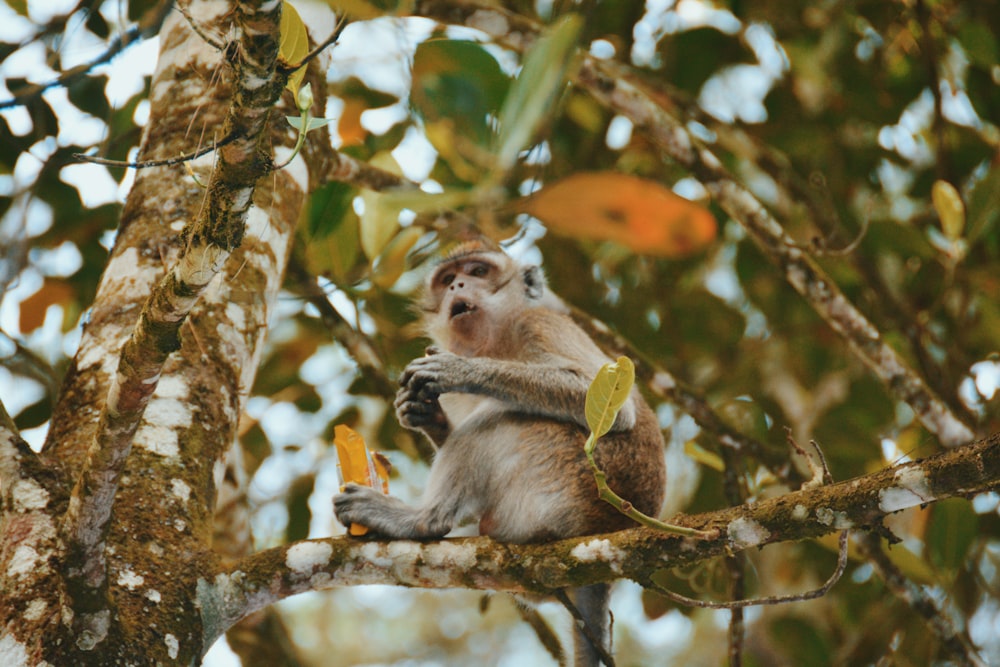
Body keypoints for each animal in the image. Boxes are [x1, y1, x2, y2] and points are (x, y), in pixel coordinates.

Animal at [332, 241, 668, 667]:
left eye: (478, 271)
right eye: (447, 279)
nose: (457, 285)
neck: (496, 342)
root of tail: (609, 529)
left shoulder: (541, 324)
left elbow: (610, 408)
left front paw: (461, 370)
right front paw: (423, 413)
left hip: (561, 487)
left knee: (498, 416)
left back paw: (420, 520)